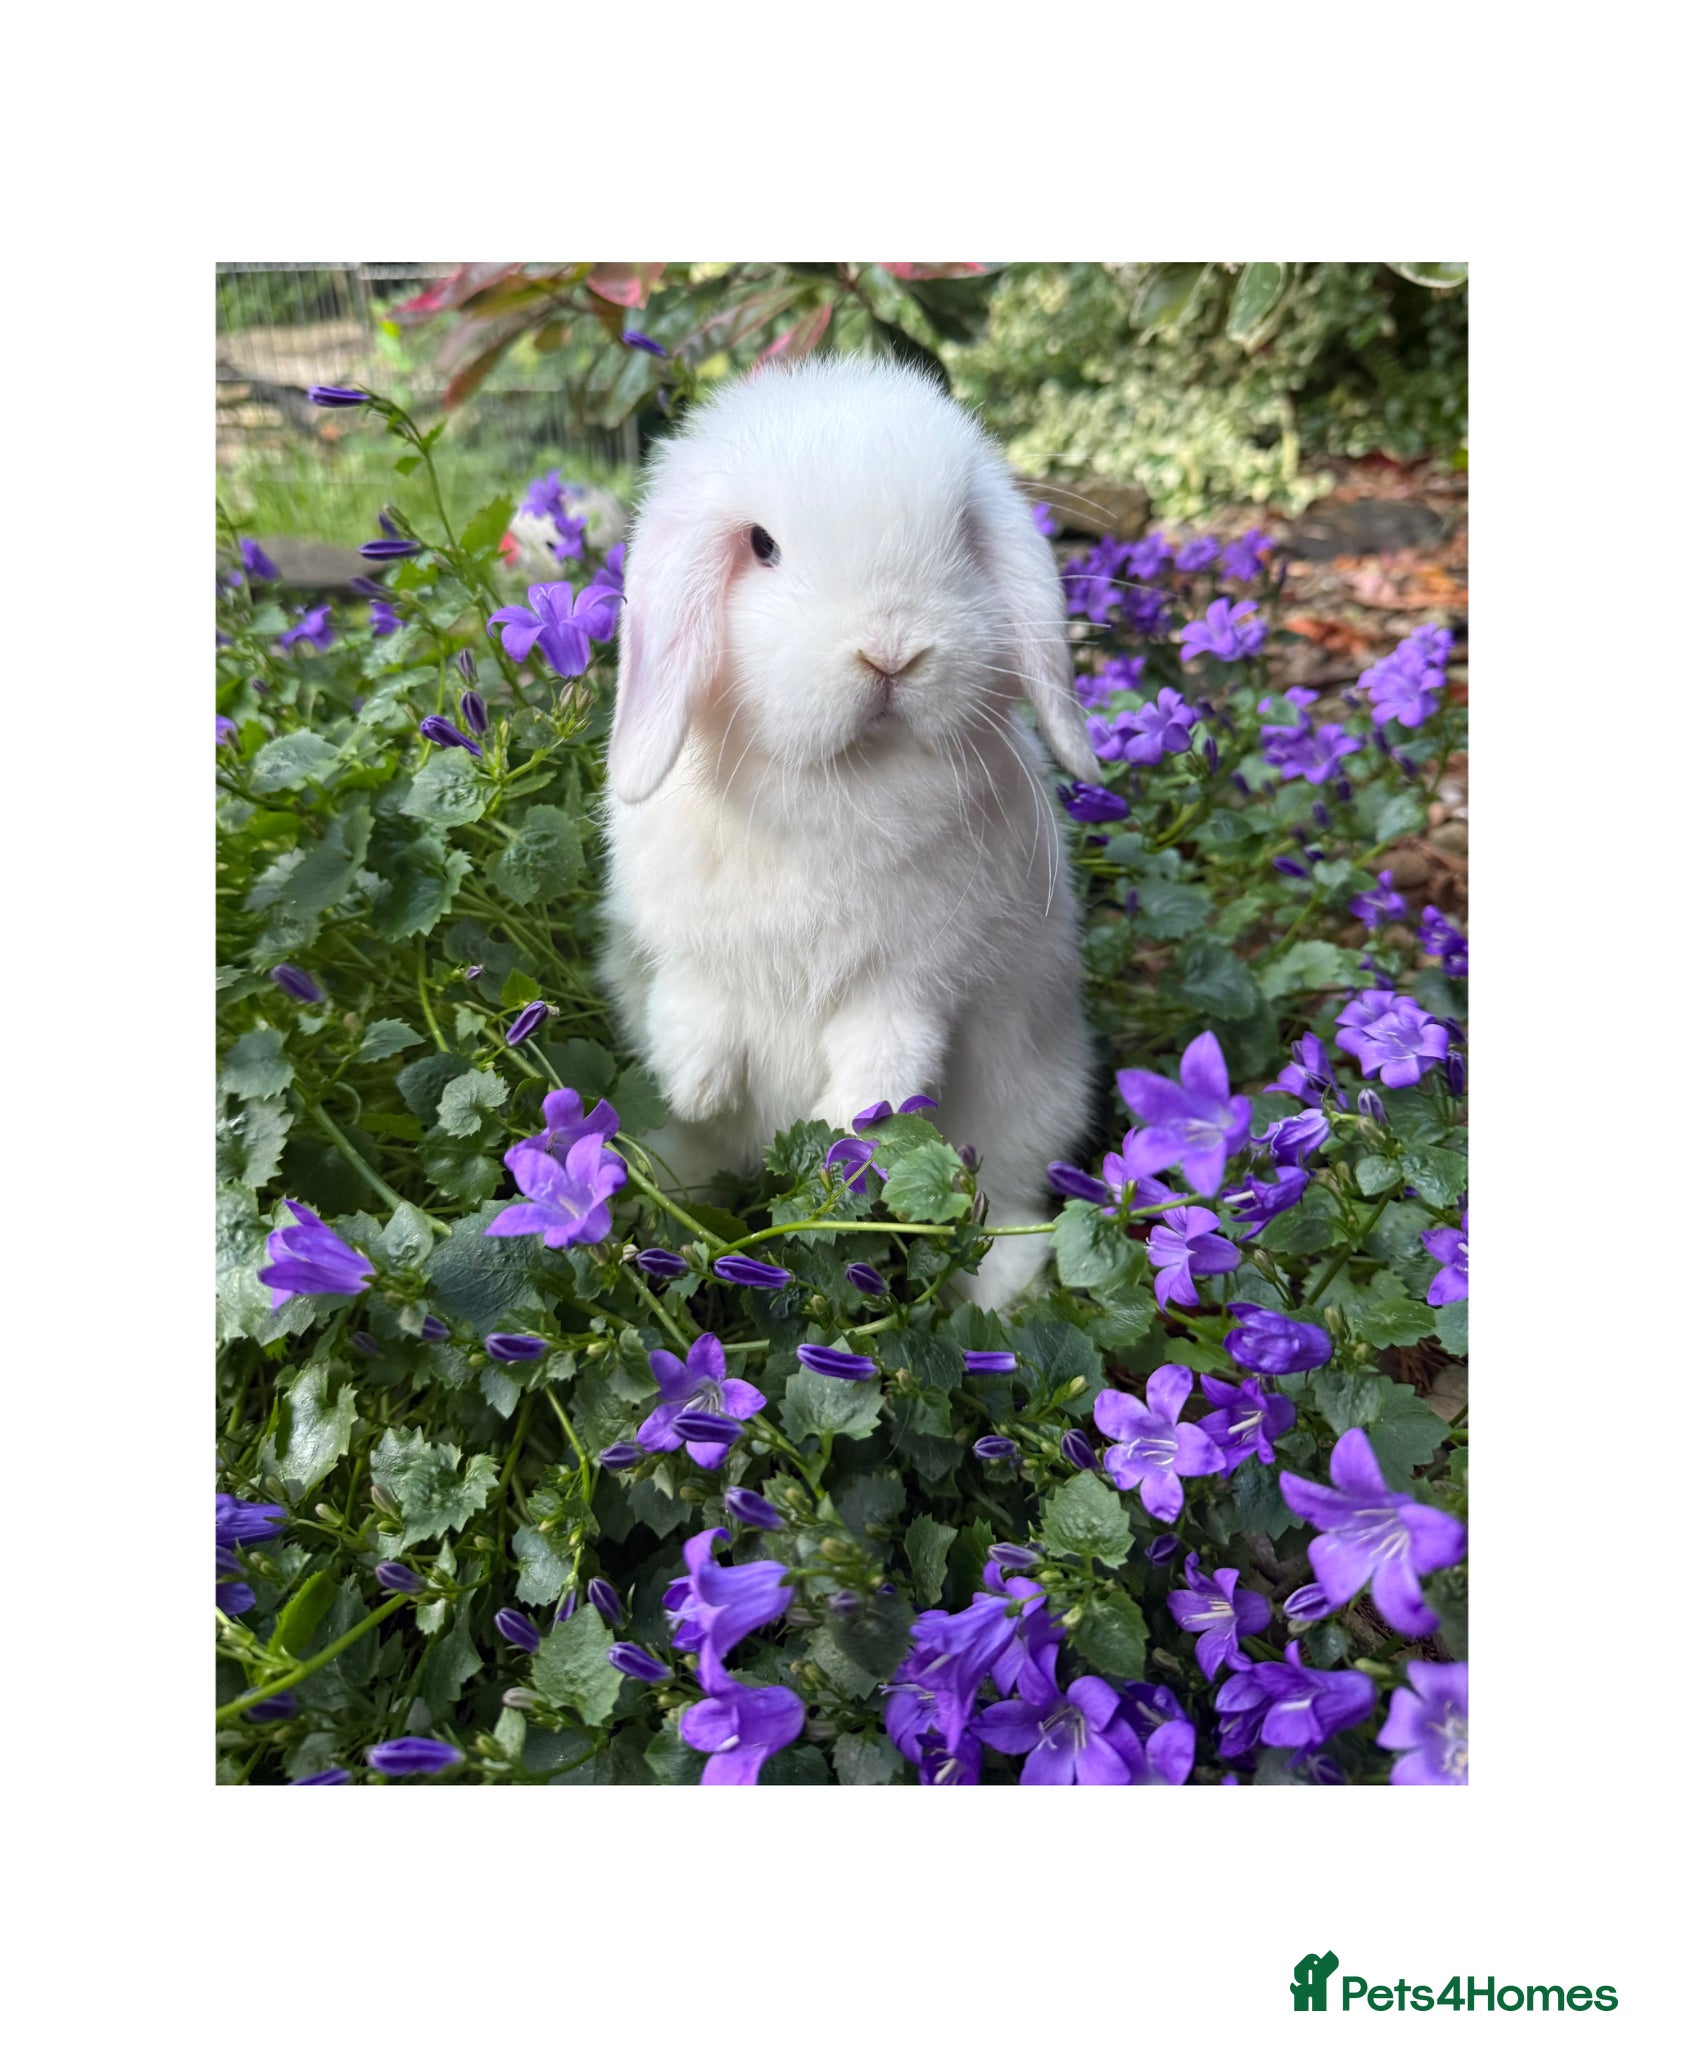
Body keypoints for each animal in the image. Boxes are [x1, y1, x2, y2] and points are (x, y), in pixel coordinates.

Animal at [598, 354, 1101, 1310]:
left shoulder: (914, 981)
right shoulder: (685, 946)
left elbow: (887, 1058)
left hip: (1028, 1108)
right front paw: (697, 1084)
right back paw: (653, 1196)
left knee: (1008, 1200)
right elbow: (695, 1003)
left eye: (964, 537)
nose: (891, 651)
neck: (844, 785)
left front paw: (844, 1138)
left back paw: (998, 1293)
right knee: (699, 1163)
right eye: (761, 545)